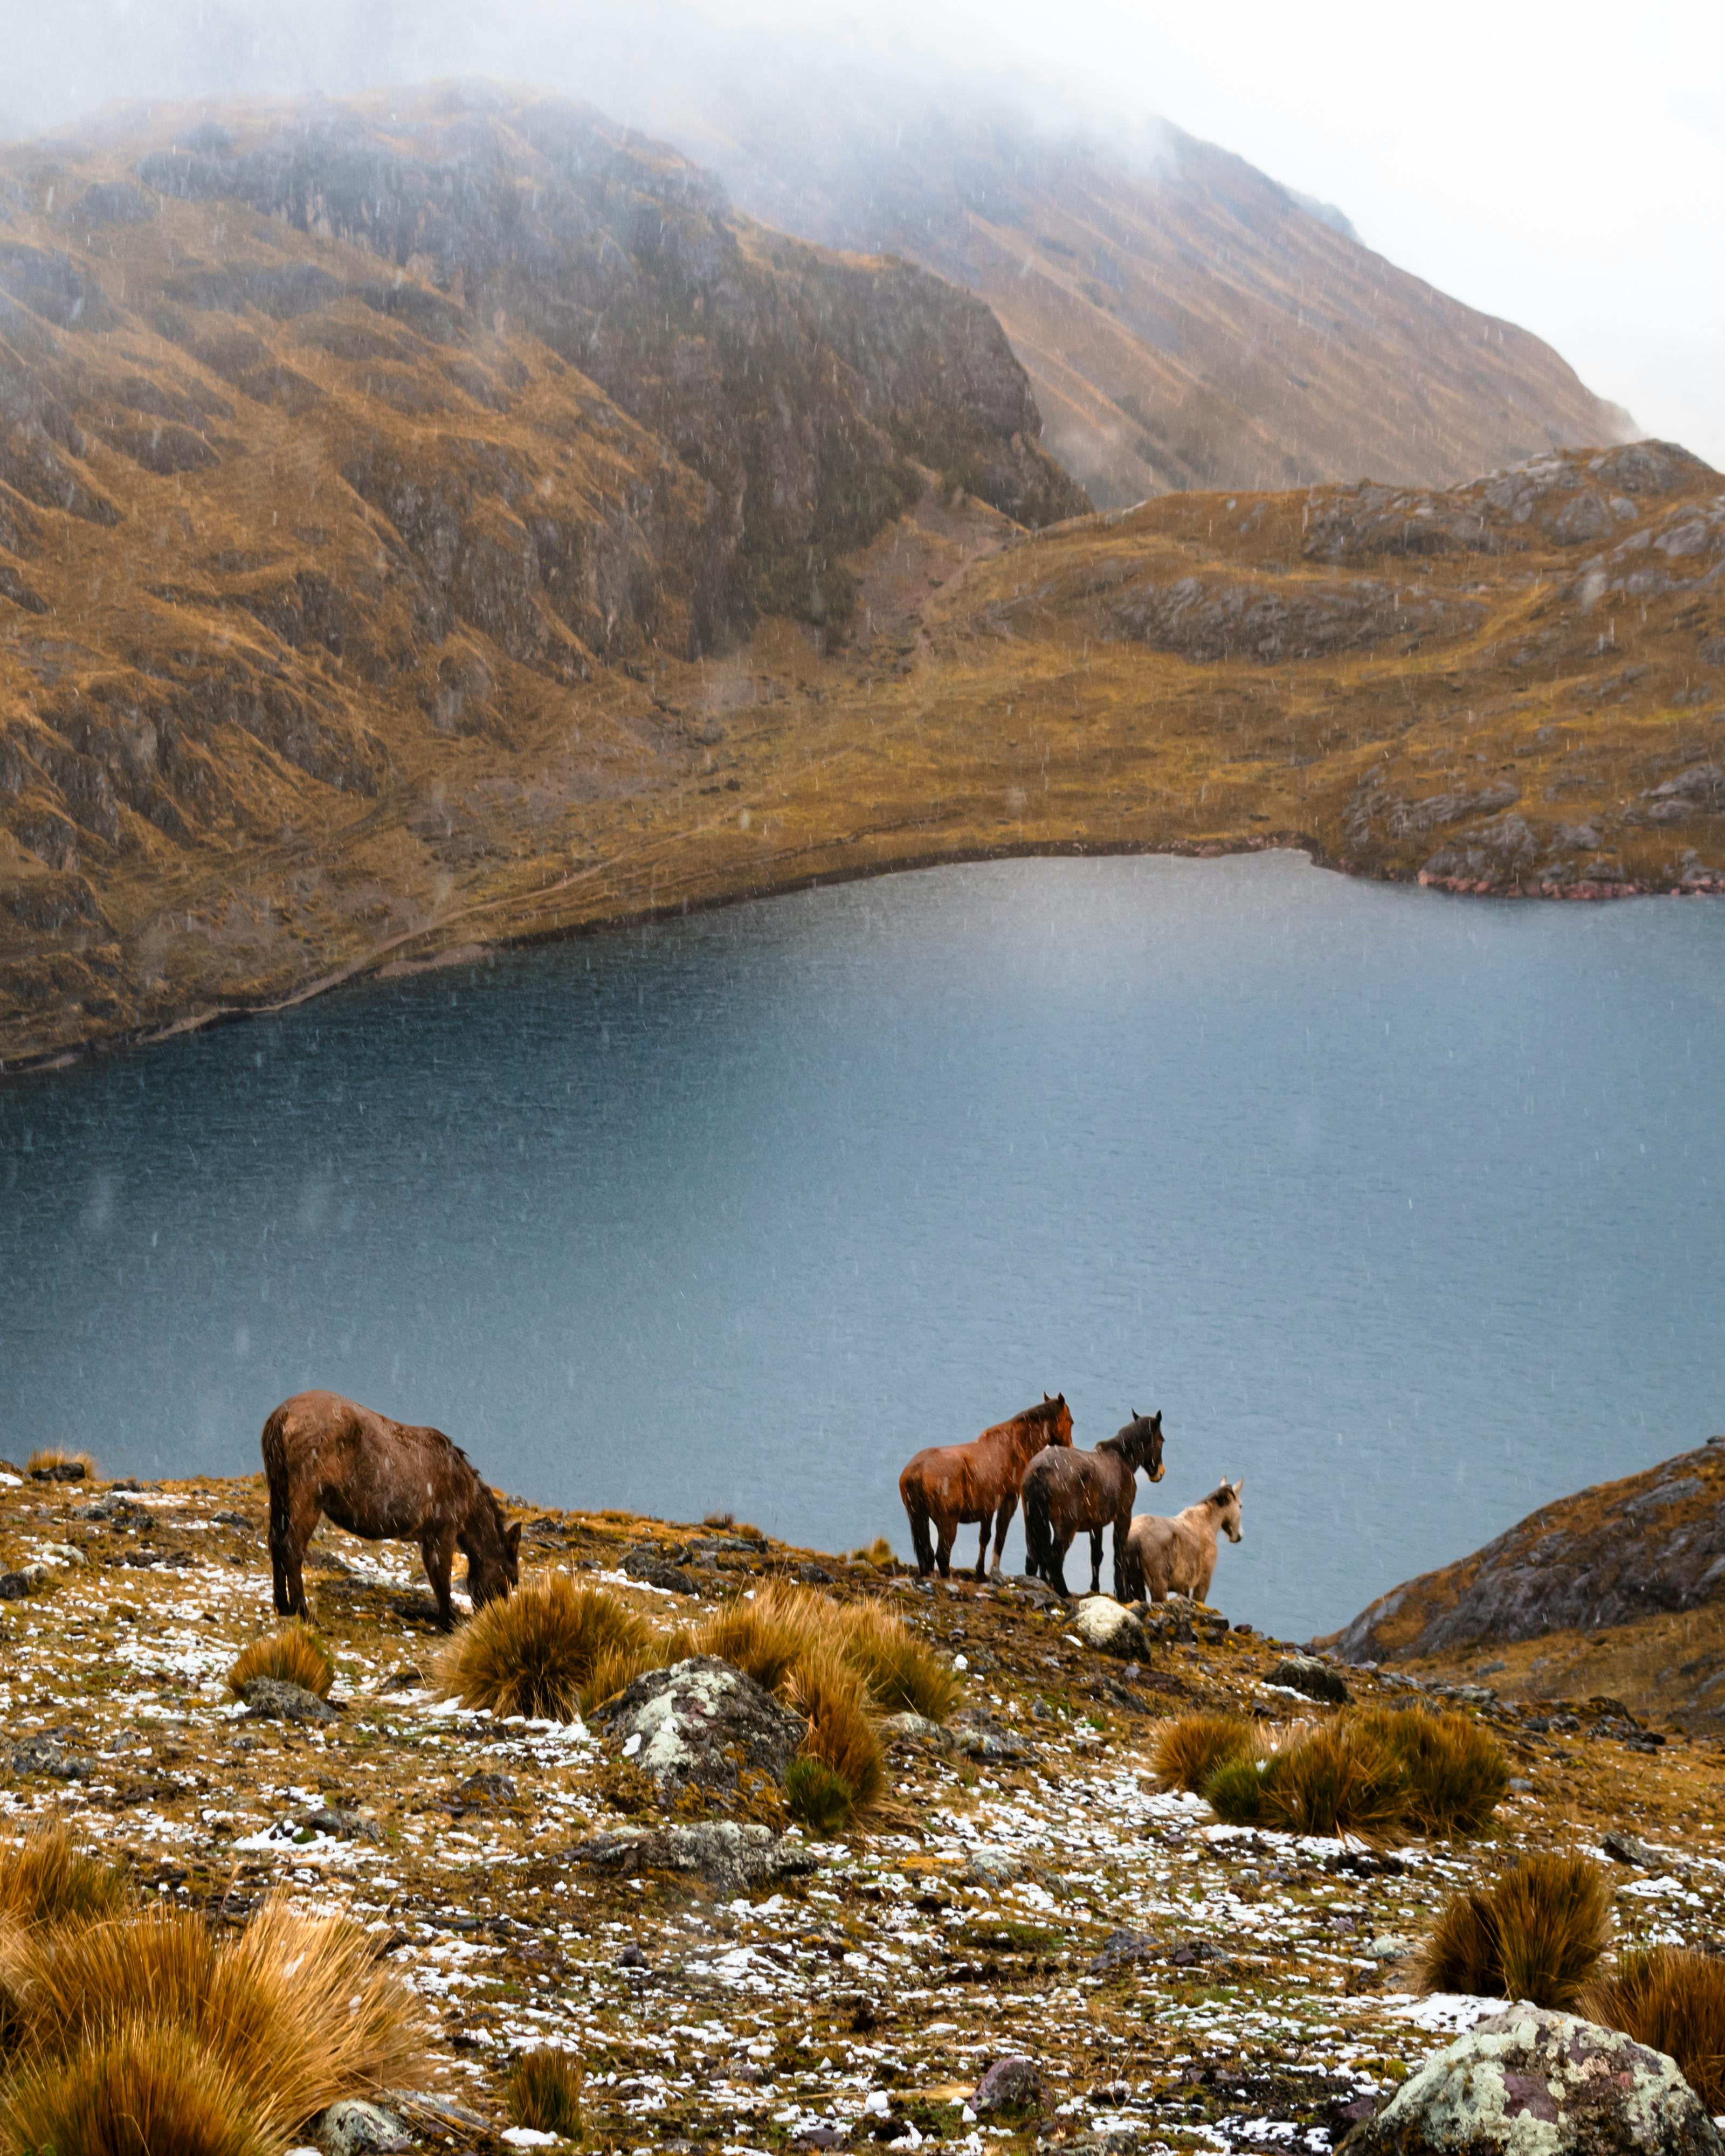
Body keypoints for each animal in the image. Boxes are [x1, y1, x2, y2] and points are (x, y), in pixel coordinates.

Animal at [261, 1390, 521, 1630]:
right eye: (513, 1578)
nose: (495, 1620)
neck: (465, 1490)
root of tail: (281, 1415)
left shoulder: (428, 1537)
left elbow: (436, 1578)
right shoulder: (442, 1531)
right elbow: (441, 1578)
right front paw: (448, 1623)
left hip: (279, 1493)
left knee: (275, 1541)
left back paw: (282, 1606)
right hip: (308, 1496)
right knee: (292, 1547)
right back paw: (305, 1613)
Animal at [899, 1393, 1074, 1581]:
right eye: (1070, 1421)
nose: (1070, 1448)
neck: (1016, 1443)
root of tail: (917, 1470)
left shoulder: (987, 1507)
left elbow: (985, 1537)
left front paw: (981, 1572)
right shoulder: (1009, 1499)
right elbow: (1000, 1536)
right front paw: (994, 1572)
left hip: (918, 1518)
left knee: (927, 1555)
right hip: (947, 1522)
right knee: (942, 1556)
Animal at [1022, 1410, 1165, 1599]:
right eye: (1162, 1440)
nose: (1159, 1473)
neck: (1122, 1459)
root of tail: (1040, 1470)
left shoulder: (1096, 1524)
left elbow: (1097, 1556)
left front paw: (1095, 1589)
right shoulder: (1123, 1516)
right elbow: (1118, 1555)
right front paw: (1122, 1594)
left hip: (1032, 1522)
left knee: (1033, 1557)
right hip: (1066, 1527)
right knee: (1055, 1558)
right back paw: (1063, 1591)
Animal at [1123, 1479, 1244, 1605]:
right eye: (1241, 1506)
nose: (1239, 1535)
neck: (1205, 1524)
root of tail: (1136, 1536)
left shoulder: (1183, 1587)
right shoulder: (1203, 1582)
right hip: (1158, 1585)